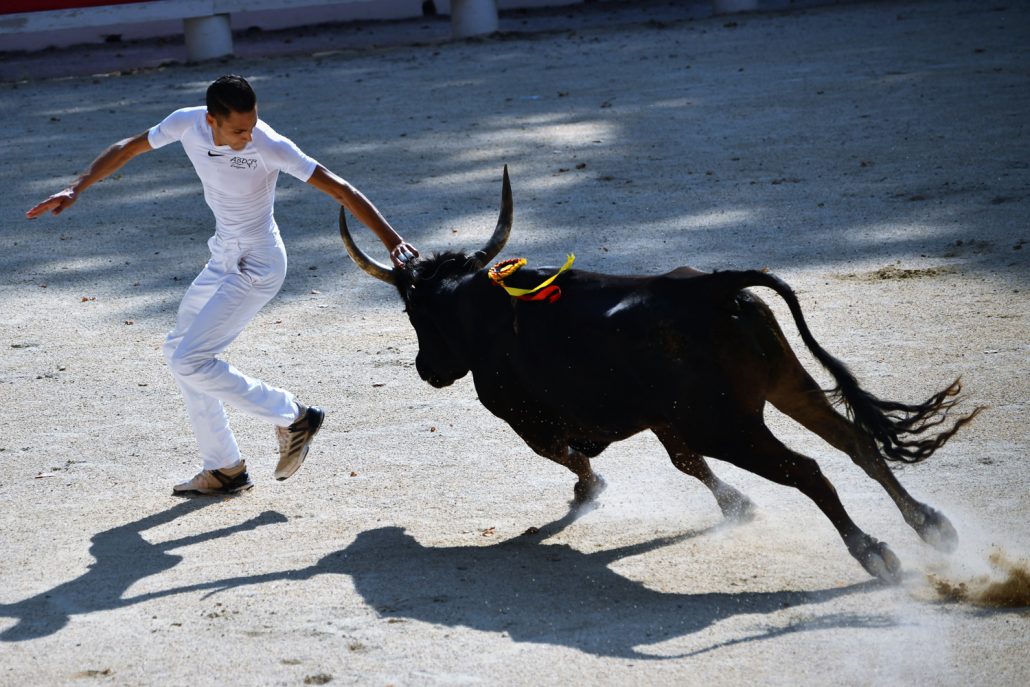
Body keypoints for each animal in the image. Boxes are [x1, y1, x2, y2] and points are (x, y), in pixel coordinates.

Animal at [339, 167, 981, 583]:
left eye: (414, 314)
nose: (427, 370)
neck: (489, 311)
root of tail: (712, 289)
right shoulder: (662, 418)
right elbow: (683, 463)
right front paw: (738, 507)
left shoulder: (526, 419)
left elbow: (572, 456)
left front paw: (589, 490)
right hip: (787, 387)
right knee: (855, 442)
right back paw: (932, 526)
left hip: (728, 426)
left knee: (807, 468)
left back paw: (874, 553)